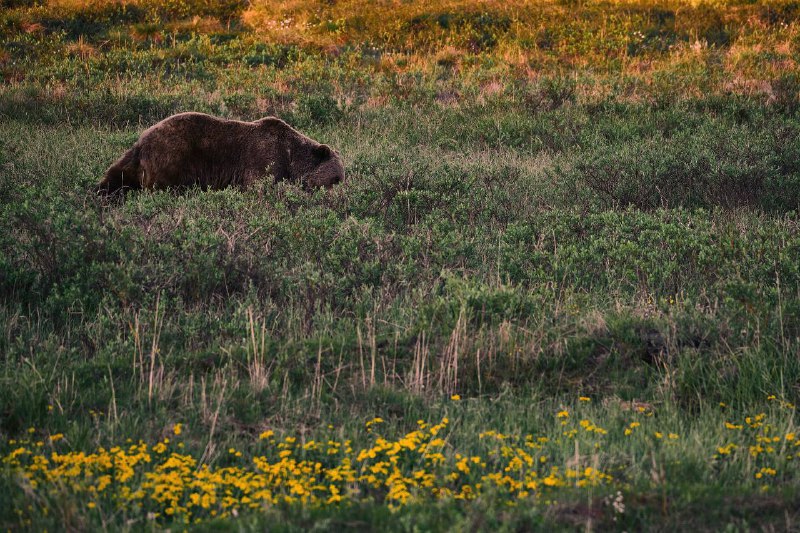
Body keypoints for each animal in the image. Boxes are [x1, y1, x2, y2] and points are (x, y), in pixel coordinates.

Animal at [96, 112, 344, 195]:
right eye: (336, 178)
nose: (337, 197)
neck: (292, 156)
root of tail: (143, 141)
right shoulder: (265, 158)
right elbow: (258, 185)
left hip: (132, 161)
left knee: (115, 177)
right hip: (172, 159)